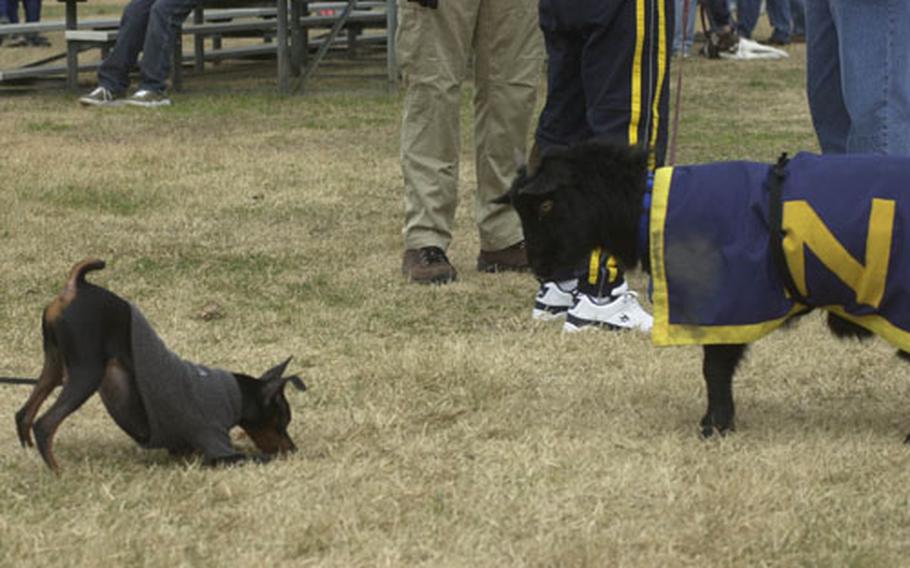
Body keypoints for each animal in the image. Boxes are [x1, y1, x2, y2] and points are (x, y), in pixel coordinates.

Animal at [14, 258, 308, 470]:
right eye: (283, 421)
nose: (293, 449)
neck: (232, 395)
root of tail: (76, 287)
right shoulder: (214, 446)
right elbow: (253, 456)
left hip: (55, 365)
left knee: (23, 414)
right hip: (87, 372)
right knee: (45, 425)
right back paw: (57, 472)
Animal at [498, 138, 910, 440]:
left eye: (546, 205)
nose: (540, 267)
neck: (645, 208)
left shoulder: (728, 304)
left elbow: (714, 368)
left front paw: (715, 426)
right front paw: (717, 422)